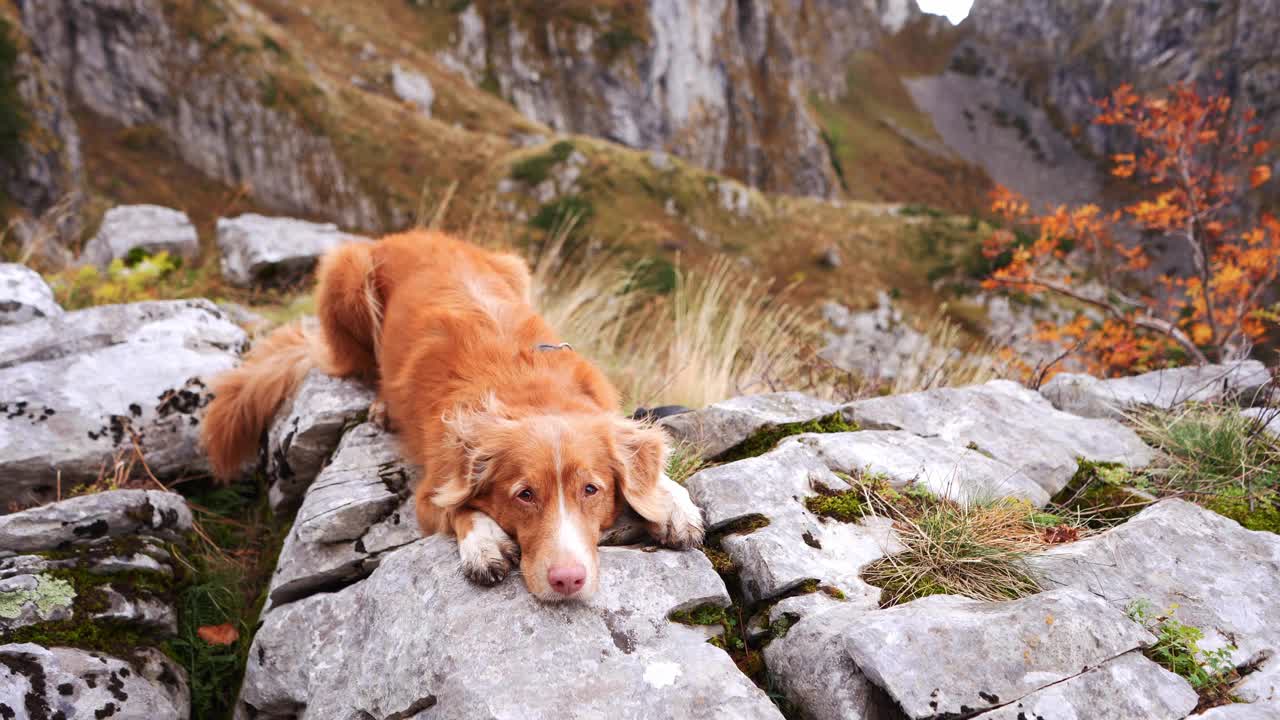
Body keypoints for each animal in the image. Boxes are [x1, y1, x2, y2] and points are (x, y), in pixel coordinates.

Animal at [198, 229, 706, 599]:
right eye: (524, 495)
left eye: (591, 490)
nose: (567, 581)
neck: (530, 392)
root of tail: (409, 234)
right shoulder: (432, 490)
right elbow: (459, 507)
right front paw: (484, 542)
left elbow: (655, 473)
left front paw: (674, 506)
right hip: (349, 275)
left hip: (514, 267)